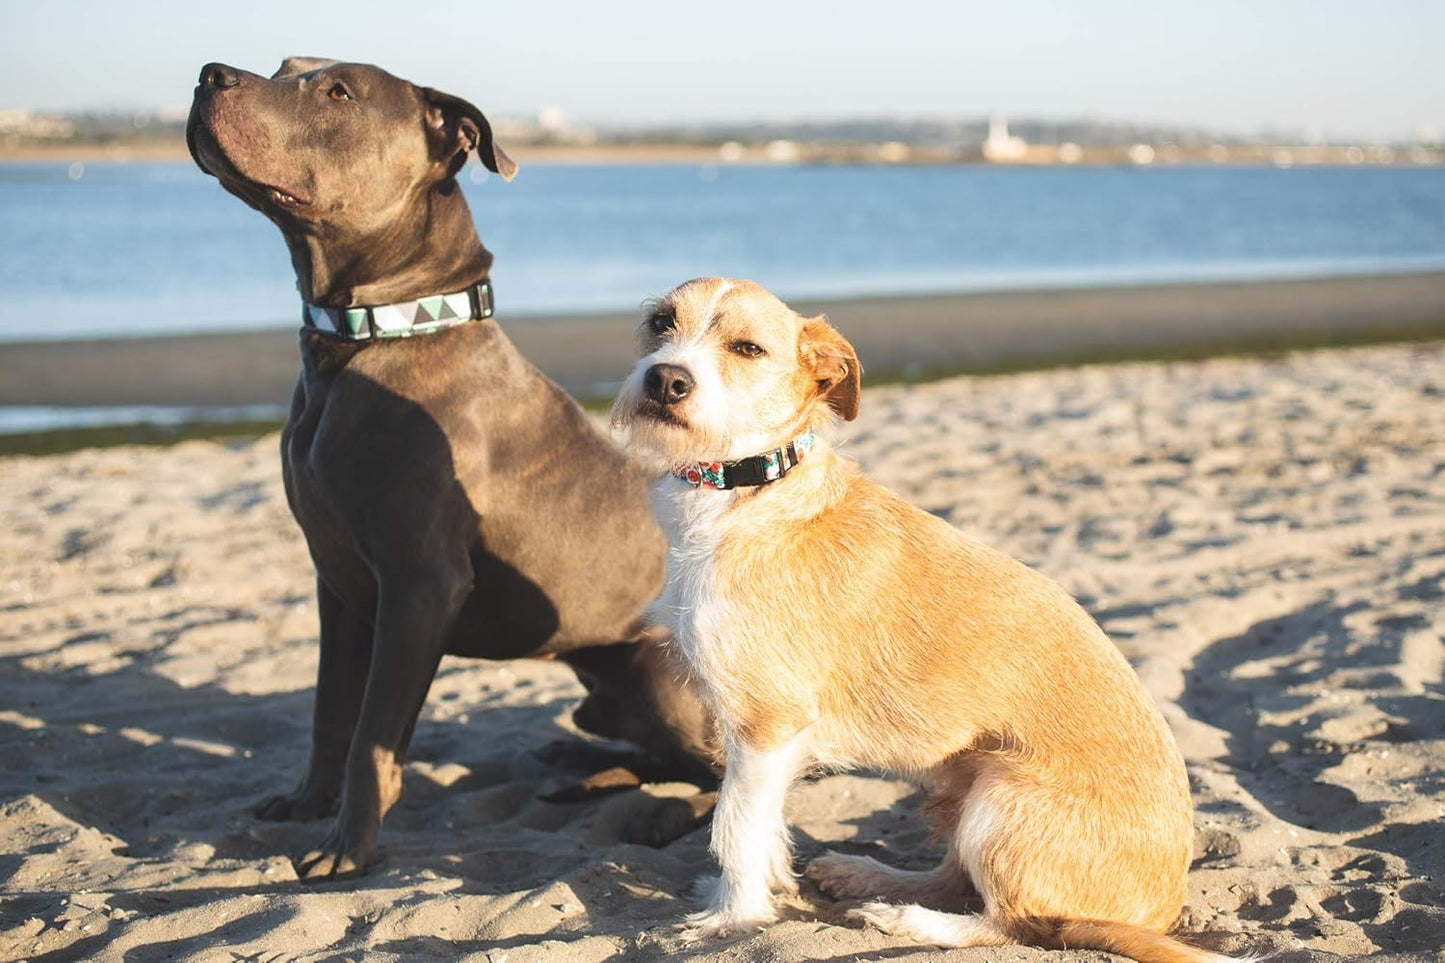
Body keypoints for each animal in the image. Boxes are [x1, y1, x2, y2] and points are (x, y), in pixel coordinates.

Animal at [186, 56, 716, 873]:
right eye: (282, 68)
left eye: (337, 91)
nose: (210, 73)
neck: (372, 336)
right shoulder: (337, 583)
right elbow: (329, 710)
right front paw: (307, 803)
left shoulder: (419, 584)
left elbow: (372, 735)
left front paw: (346, 848)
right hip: (601, 691)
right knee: (657, 754)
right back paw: (580, 771)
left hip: (661, 671)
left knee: (729, 776)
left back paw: (653, 812)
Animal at [609, 273, 1242, 954]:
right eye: (661, 322)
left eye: (748, 349)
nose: (666, 379)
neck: (750, 487)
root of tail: (1158, 911)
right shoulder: (770, 741)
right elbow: (767, 822)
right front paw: (770, 887)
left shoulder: (765, 723)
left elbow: (735, 827)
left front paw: (734, 915)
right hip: (963, 789)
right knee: (953, 877)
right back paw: (868, 876)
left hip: (1000, 794)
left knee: (1006, 924)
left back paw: (905, 918)